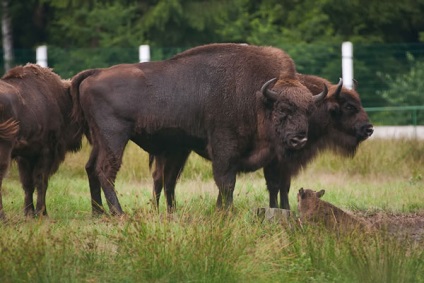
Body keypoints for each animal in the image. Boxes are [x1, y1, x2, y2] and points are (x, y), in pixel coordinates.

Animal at [0, 64, 83, 220]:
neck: (61, 99)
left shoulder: (25, 156)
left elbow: (28, 184)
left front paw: (29, 213)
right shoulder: (46, 152)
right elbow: (41, 181)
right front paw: (41, 213)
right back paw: (3, 217)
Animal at [71, 43, 326, 217]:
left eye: (309, 110)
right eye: (283, 109)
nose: (299, 139)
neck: (258, 98)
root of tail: (95, 73)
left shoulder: (267, 158)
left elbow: (265, 185)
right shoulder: (224, 149)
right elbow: (226, 183)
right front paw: (226, 212)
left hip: (100, 140)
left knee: (91, 168)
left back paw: (99, 213)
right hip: (114, 138)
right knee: (106, 170)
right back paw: (119, 213)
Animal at [148, 75, 372, 213]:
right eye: (349, 106)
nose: (369, 129)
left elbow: (279, 186)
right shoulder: (278, 162)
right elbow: (278, 185)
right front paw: (283, 209)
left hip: (178, 153)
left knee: (164, 179)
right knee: (162, 179)